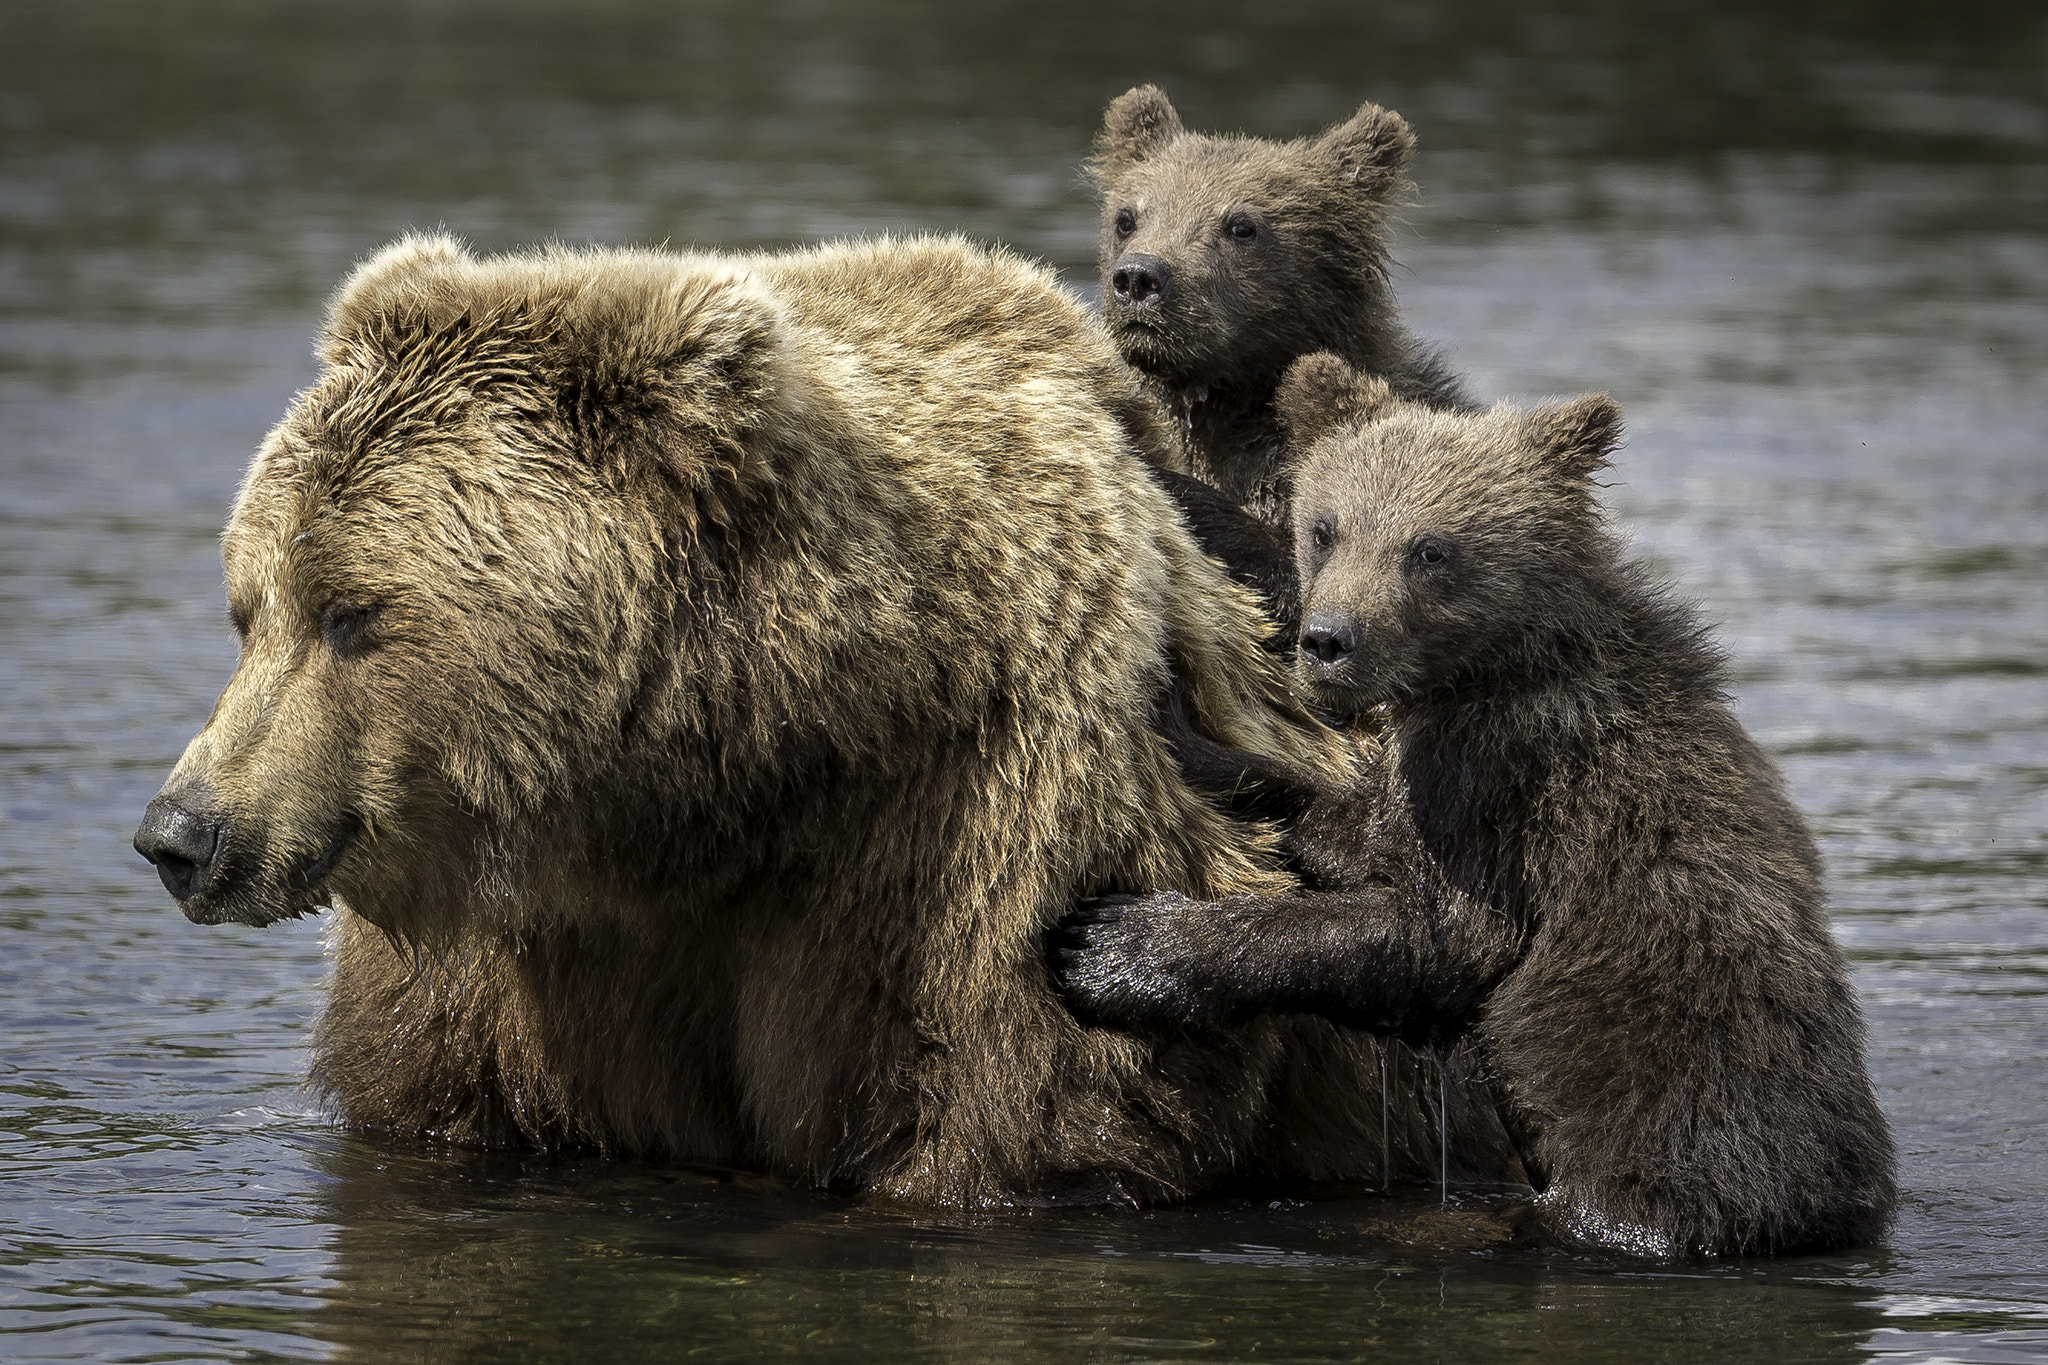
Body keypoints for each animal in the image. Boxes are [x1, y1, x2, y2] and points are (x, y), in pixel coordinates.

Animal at [132, 232, 1425, 1203]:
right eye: (251, 608)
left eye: (352, 613)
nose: (182, 833)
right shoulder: (512, 957)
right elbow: (427, 1106)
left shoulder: (973, 851)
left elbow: (1012, 1120)